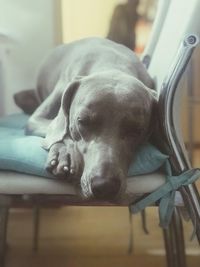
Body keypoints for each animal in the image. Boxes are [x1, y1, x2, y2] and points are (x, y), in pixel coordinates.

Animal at [25, 37, 155, 201]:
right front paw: (64, 154)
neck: (113, 63)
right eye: (82, 122)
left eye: (136, 130)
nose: (105, 186)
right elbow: (61, 131)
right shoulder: (36, 119)